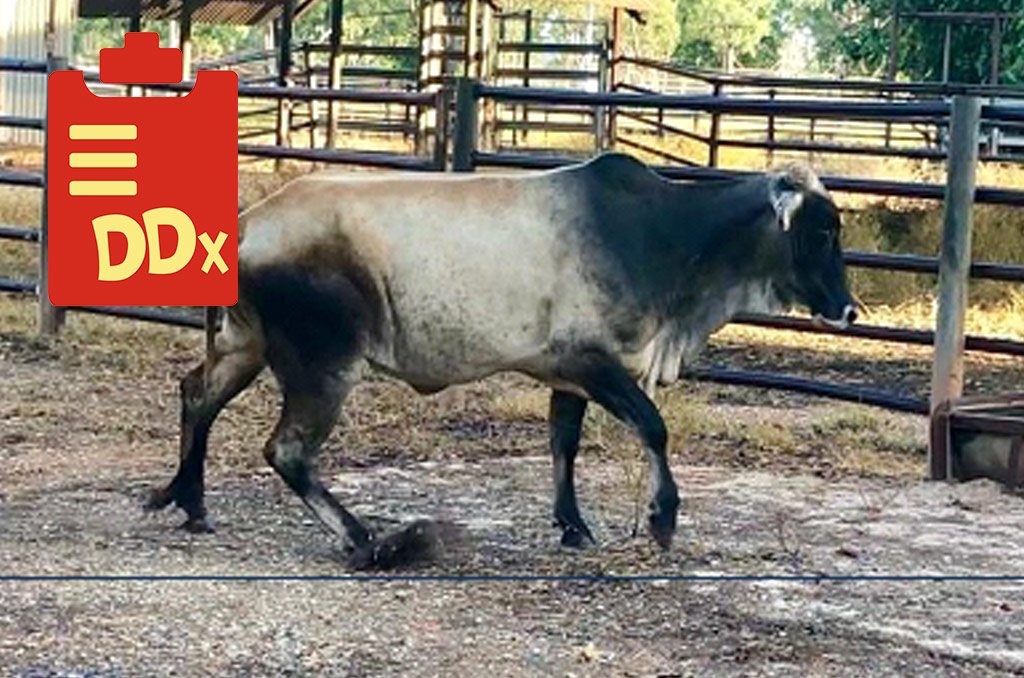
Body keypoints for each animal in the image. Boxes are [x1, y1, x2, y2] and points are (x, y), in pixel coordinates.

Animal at [146, 152, 857, 568]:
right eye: (821, 229)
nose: (849, 310)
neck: (662, 236)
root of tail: (250, 222)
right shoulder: (594, 362)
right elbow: (653, 427)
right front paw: (661, 519)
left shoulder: (567, 373)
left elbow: (564, 445)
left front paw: (573, 526)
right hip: (323, 364)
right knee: (287, 450)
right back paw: (364, 539)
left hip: (245, 346)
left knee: (195, 395)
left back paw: (189, 501)